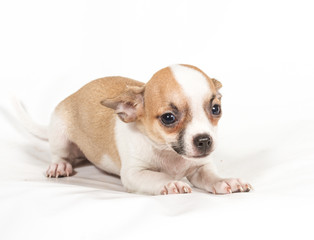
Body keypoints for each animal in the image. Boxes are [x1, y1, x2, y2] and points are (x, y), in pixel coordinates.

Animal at [15, 64, 251, 195]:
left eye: (216, 109)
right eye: (168, 118)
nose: (204, 140)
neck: (169, 153)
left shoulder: (201, 167)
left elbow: (211, 176)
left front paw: (224, 181)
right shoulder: (135, 174)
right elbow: (156, 177)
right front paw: (169, 183)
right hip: (60, 134)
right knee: (59, 154)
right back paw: (59, 166)